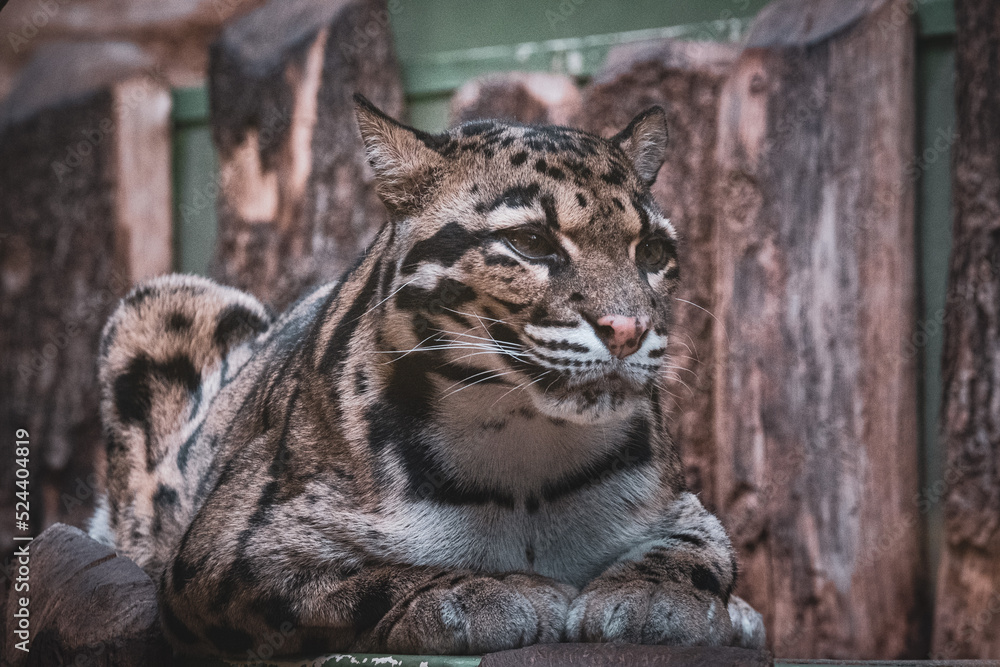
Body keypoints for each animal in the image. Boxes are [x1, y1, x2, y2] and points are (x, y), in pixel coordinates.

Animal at [89, 94, 766, 659]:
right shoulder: (224, 552)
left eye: (651, 252)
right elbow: (347, 579)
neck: (523, 444)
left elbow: (697, 552)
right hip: (163, 303)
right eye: (531, 241)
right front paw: (475, 592)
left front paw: (660, 596)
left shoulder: (684, 509)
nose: (628, 329)